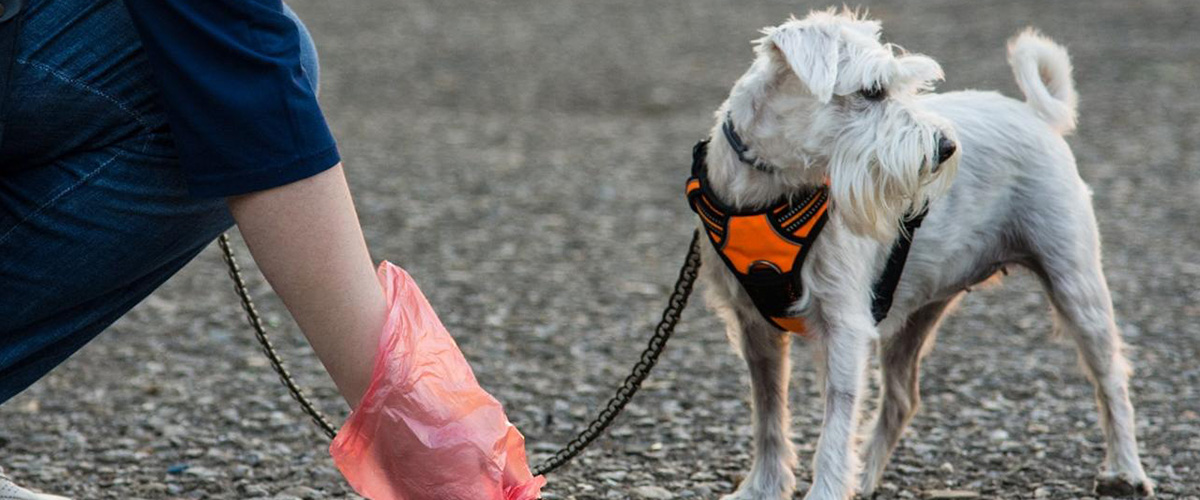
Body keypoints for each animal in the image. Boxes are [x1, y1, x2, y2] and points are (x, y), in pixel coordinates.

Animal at [700, 8, 1156, 498]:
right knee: (902, 398)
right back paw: (865, 478)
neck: (774, 190)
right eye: (872, 91)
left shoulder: (845, 327)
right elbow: (767, 413)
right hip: (915, 316)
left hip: (1077, 286)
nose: (946, 148)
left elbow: (835, 429)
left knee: (1112, 378)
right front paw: (761, 488)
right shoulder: (755, 328)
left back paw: (1127, 470)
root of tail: (1033, 114)